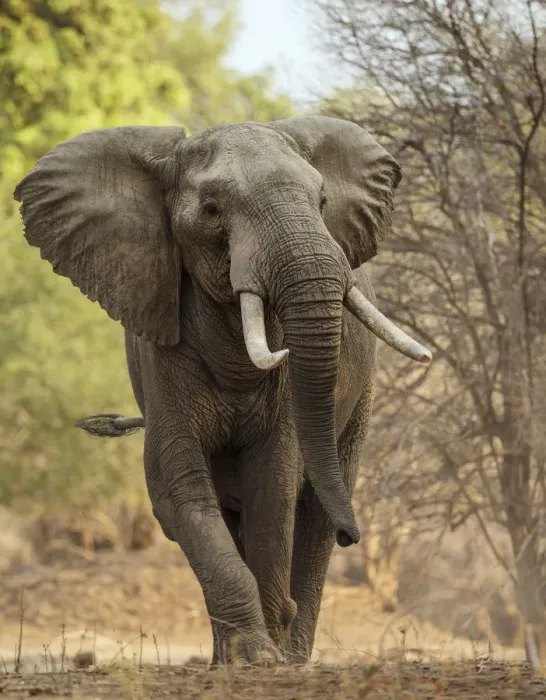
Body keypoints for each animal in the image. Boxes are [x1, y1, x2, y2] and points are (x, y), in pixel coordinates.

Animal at [15, 116, 431, 665]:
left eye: (322, 200)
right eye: (211, 210)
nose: (354, 536)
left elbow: (273, 485)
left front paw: (270, 657)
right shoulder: (162, 349)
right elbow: (177, 486)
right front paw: (250, 658)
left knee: (314, 513)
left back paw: (295, 655)